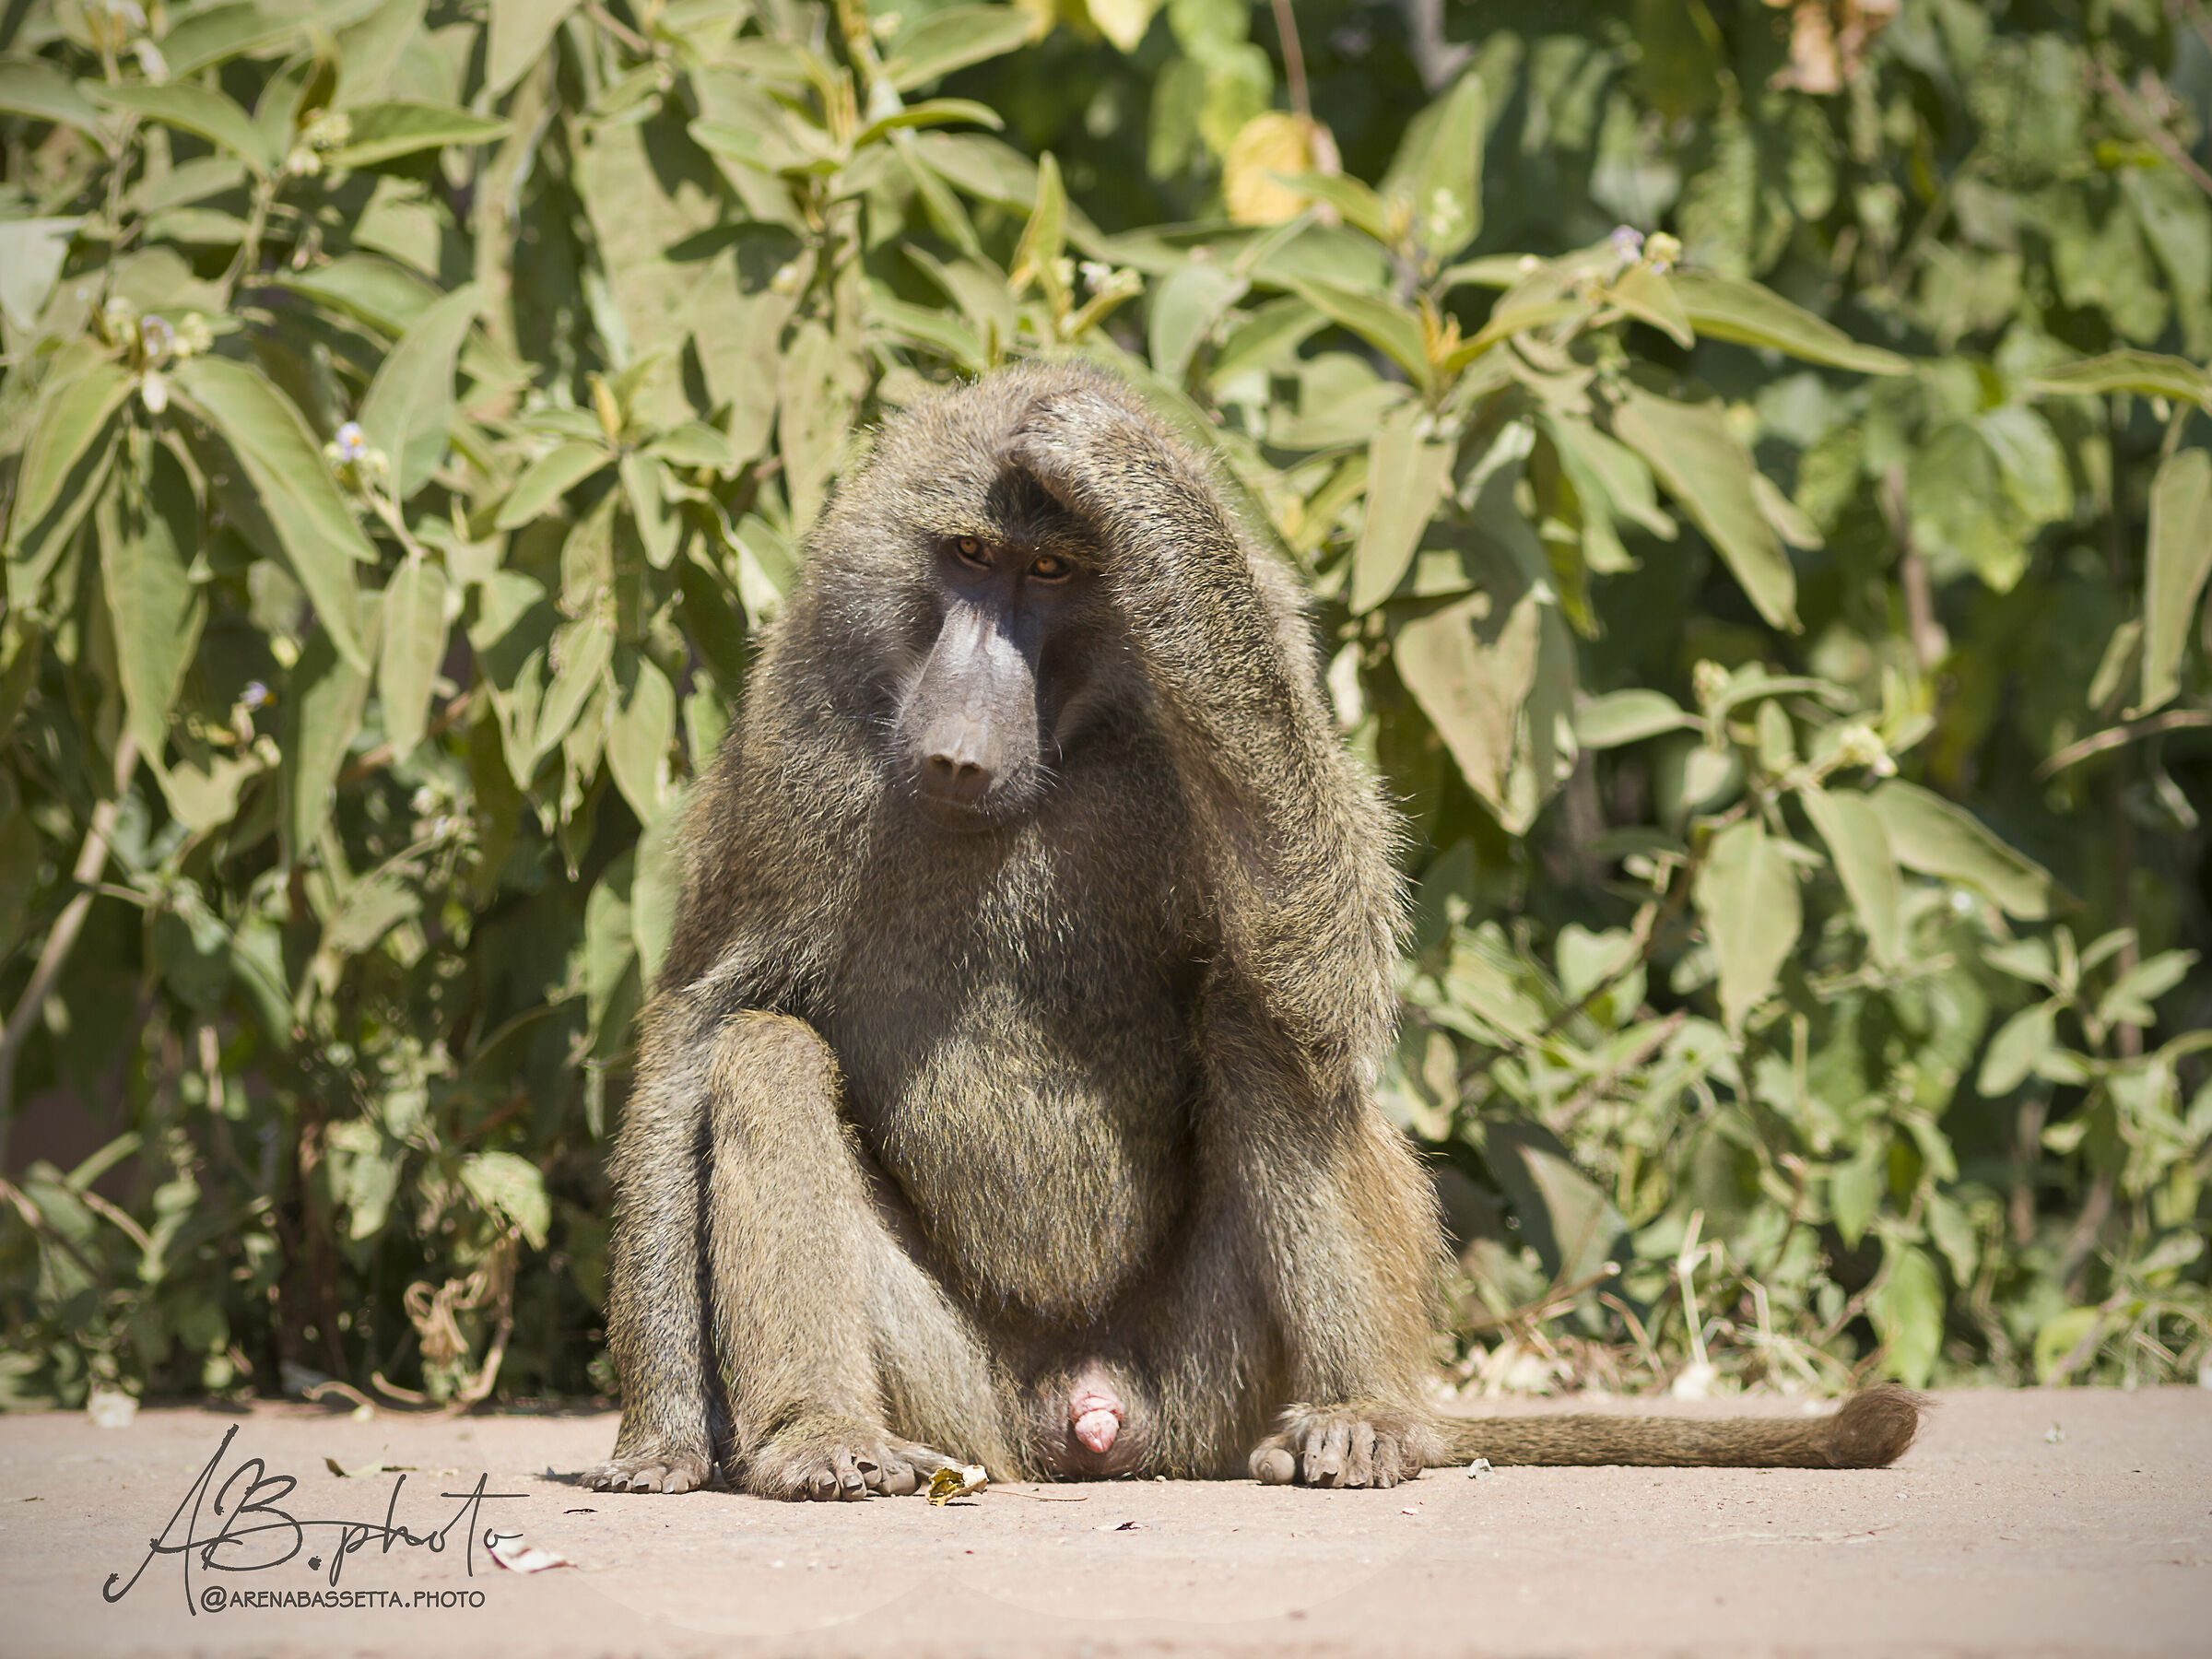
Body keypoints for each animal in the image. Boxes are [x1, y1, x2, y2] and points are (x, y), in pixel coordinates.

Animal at [580, 360, 1926, 1500]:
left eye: (1053, 572)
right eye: (965, 554)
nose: (958, 739)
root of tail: (1080, 1417)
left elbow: (1328, 977)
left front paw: (1136, 483)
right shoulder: (800, 741)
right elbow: (702, 1022)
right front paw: (661, 1442)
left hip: (1214, 1390)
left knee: (1256, 1018)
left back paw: (1364, 1419)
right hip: (961, 1406)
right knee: (766, 1054)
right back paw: (821, 1437)